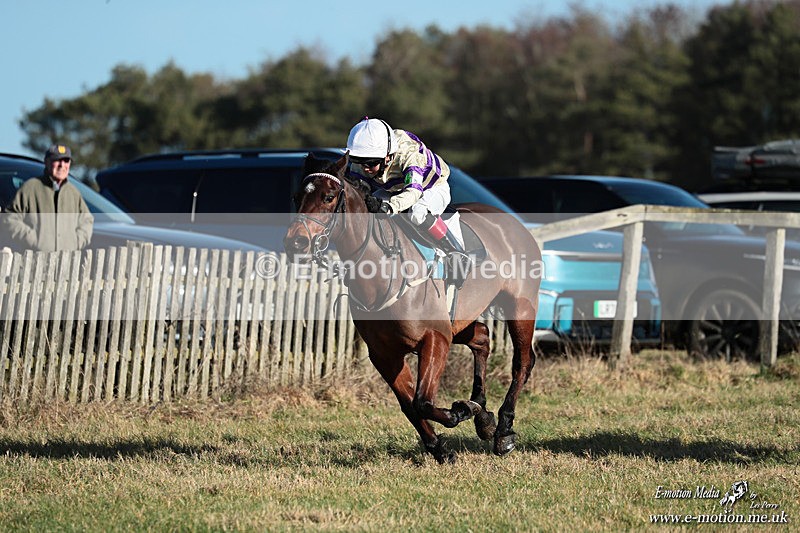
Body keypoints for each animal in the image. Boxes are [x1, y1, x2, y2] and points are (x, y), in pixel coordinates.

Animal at [283, 153, 542, 463]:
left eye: (328, 197)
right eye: (296, 197)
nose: (296, 241)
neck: (385, 271)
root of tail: (513, 222)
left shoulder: (435, 338)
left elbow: (423, 401)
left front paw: (461, 411)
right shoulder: (385, 354)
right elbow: (409, 405)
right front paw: (441, 447)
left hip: (520, 307)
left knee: (522, 363)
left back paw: (503, 428)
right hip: (459, 322)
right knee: (481, 337)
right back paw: (484, 417)